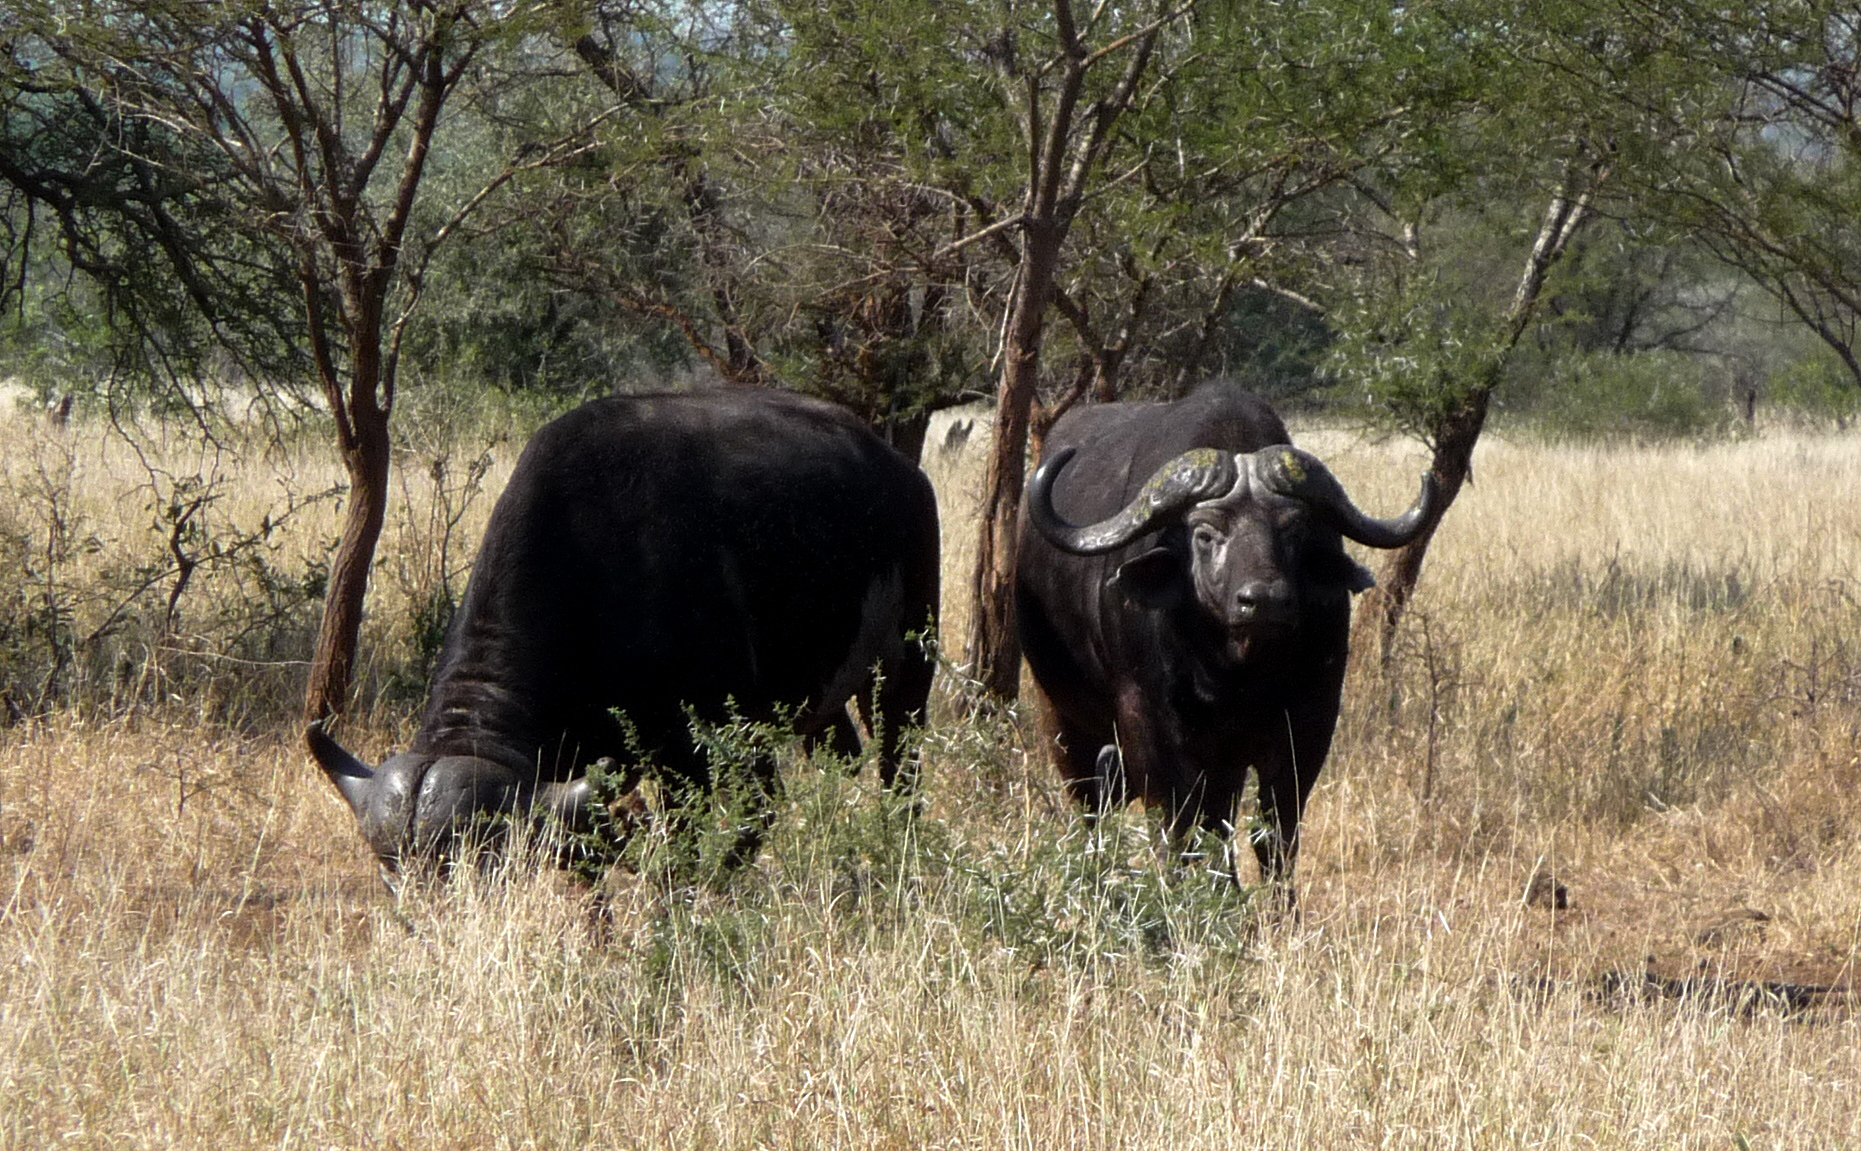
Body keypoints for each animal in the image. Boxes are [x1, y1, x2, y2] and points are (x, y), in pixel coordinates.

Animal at [314, 385, 945, 860]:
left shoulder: (723, 750)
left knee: (899, 762)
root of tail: (905, 474)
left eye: (484, 862)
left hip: (907, 670)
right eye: (392, 870)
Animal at [1019, 381, 1436, 890]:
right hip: (1061, 719)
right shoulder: (1148, 725)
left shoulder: (1309, 722)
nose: (1265, 600)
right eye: (1205, 535)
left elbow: (1274, 833)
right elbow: (1175, 829)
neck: (1234, 673)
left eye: (1293, 531)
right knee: (1091, 810)